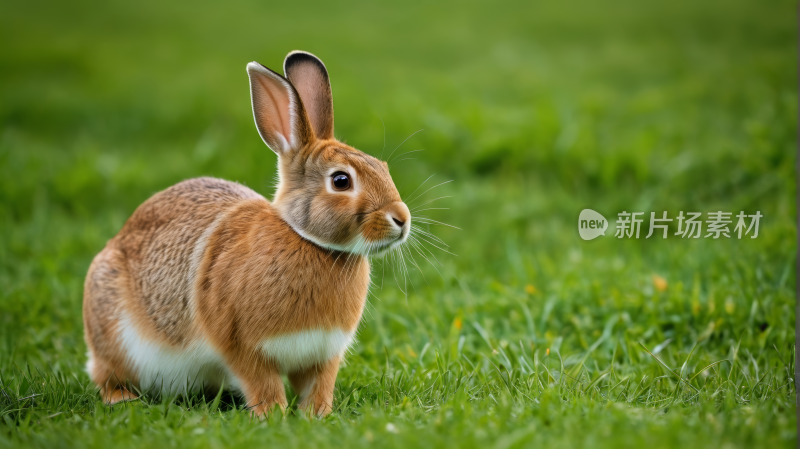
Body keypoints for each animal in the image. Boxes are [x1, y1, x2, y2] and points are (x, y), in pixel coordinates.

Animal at [83, 50, 412, 416]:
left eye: (382, 167)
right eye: (341, 181)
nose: (402, 219)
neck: (308, 240)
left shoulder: (323, 354)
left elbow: (318, 386)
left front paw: (316, 415)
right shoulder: (242, 346)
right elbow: (262, 383)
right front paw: (273, 415)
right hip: (114, 333)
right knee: (106, 374)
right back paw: (121, 398)